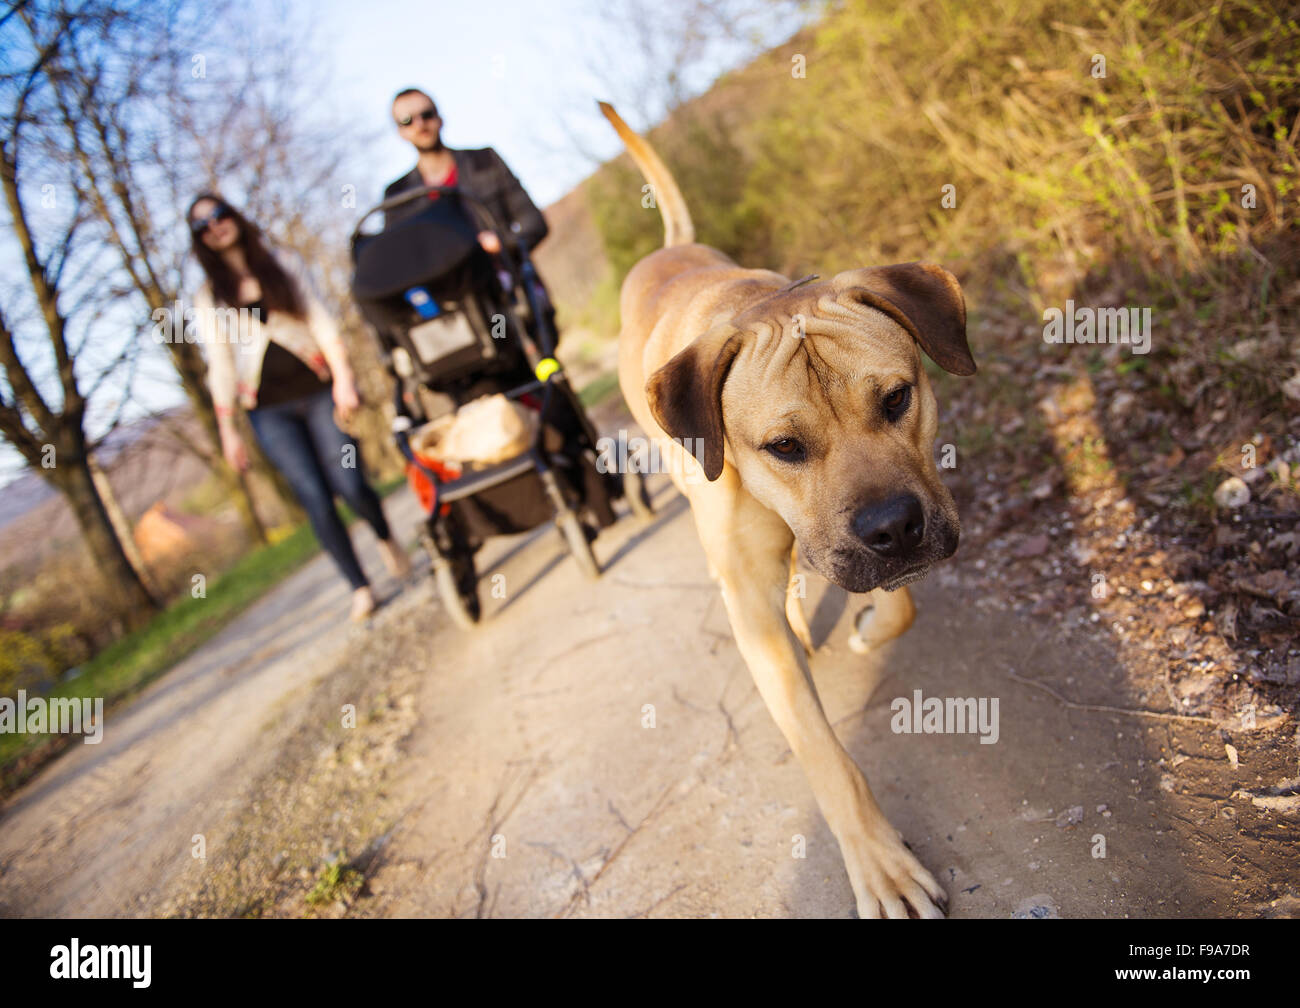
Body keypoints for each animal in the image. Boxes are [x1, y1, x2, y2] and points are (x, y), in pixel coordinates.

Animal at [598, 100, 977, 915]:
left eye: (897, 399)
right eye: (784, 446)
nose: (895, 528)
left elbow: (898, 601)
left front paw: (871, 627)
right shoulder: (753, 602)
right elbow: (826, 755)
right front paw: (880, 865)